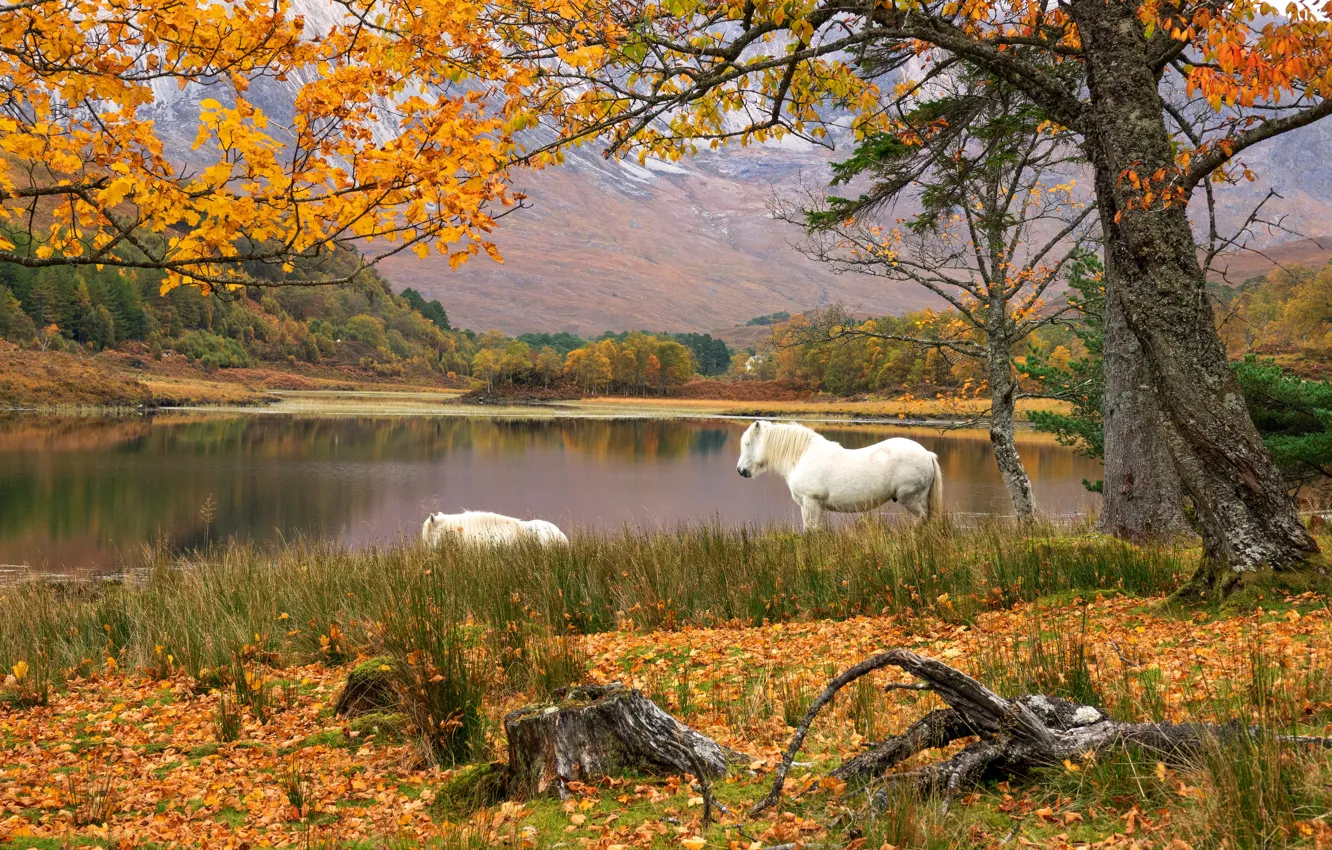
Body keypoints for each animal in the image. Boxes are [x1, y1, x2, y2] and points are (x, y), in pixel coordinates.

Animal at [735, 420, 943, 530]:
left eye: (747, 444)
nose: (740, 471)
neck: (803, 456)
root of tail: (927, 454)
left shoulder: (812, 504)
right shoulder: (809, 506)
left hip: (912, 500)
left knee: (922, 519)